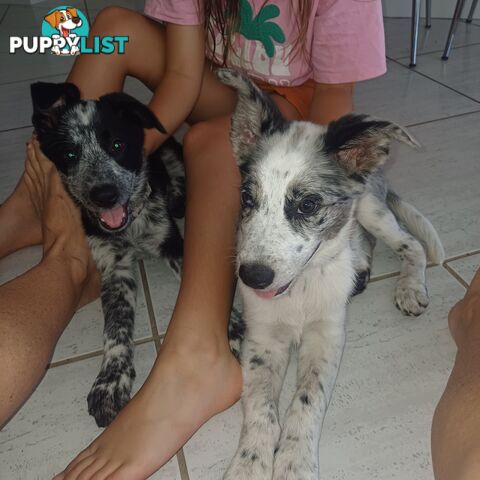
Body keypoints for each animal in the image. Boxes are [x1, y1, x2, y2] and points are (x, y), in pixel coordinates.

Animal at [30, 82, 184, 428]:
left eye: (117, 145)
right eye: (70, 154)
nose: (104, 194)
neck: (130, 230)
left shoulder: (171, 242)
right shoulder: (115, 269)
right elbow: (116, 328)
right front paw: (111, 383)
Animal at [216, 70, 444, 480]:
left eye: (308, 205)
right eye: (246, 199)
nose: (252, 277)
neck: (302, 288)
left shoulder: (326, 337)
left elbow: (306, 402)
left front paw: (294, 462)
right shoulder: (262, 340)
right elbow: (260, 408)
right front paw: (250, 462)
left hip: (368, 208)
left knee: (409, 244)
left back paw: (409, 287)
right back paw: (362, 270)